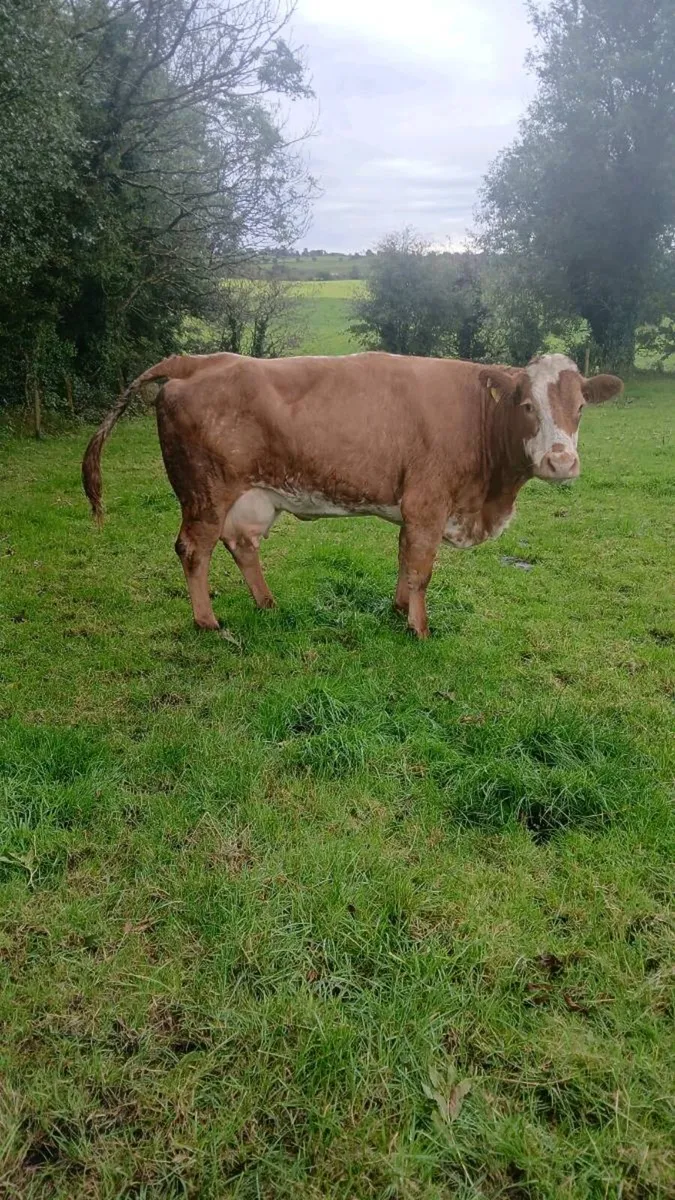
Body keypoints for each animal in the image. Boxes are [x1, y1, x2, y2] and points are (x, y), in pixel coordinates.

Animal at [82, 351, 623, 638]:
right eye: (527, 405)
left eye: (580, 406)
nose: (561, 462)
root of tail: (196, 360)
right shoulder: (427, 503)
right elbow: (422, 570)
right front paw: (420, 630)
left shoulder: (412, 510)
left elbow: (405, 560)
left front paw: (398, 611)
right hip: (204, 494)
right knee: (194, 550)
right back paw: (208, 622)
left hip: (248, 497)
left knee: (241, 545)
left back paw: (267, 604)